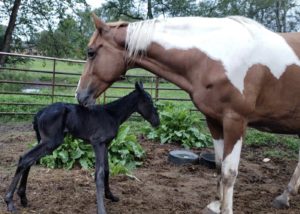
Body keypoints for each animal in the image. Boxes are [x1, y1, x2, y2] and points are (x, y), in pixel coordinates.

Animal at [5, 83, 159, 214]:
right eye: (148, 101)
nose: (157, 121)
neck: (111, 114)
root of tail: (39, 113)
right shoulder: (97, 143)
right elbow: (99, 174)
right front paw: (101, 209)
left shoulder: (106, 144)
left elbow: (107, 170)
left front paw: (110, 196)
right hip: (51, 142)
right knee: (25, 159)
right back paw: (9, 202)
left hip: (44, 141)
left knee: (29, 161)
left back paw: (23, 198)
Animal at [77, 14, 300, 213]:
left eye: (91, 52)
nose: (79, 95)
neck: (217, 54)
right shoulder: (214, 120)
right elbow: (218, 165)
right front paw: (215, 204)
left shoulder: (235, 122)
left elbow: (229, 172)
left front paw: (225, 208)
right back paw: (284, 197)